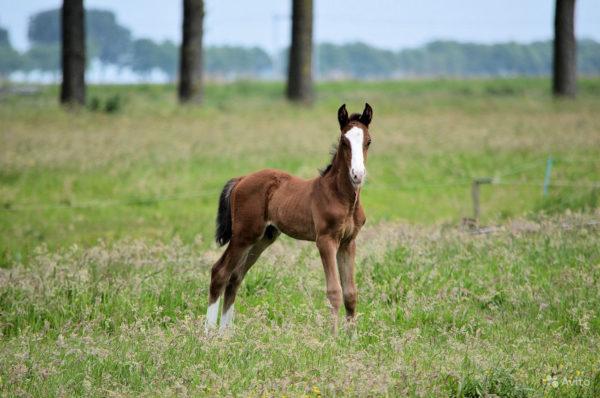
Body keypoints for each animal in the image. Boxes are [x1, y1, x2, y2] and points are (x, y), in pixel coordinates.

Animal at [209, 103, 372, 332]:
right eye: (344, 142)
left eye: (368, 141)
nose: (357, 174)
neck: (341, 196)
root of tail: (242, 179)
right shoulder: (325, 241)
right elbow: (334, 291)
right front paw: (333, 336)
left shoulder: (348, 242)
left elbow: (350, 293)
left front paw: (351, 337)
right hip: (244, 235)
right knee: (220, 272)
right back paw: (208, 333)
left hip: (264, 237)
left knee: (235, 277)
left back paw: (226, 334)